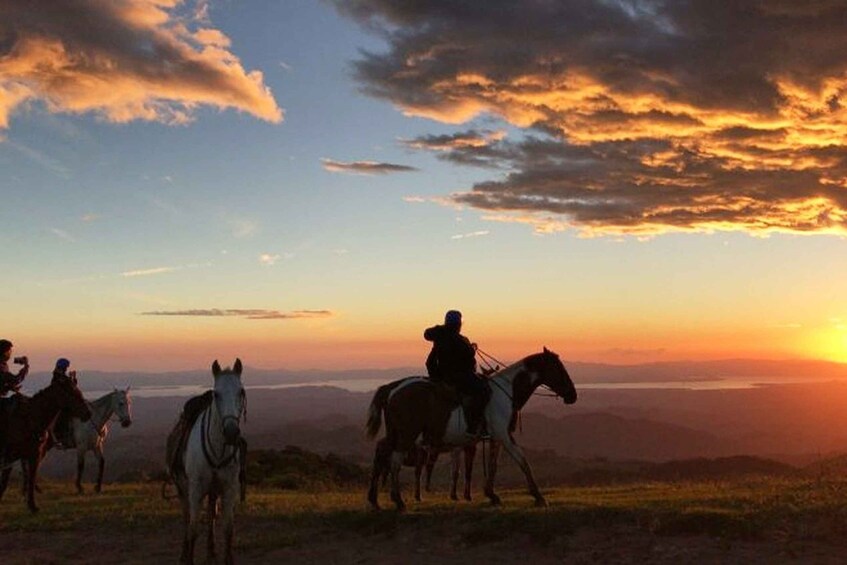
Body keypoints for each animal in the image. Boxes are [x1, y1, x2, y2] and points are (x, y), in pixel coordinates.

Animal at [0, 374, 92, 512]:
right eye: (72, 393)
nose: (88, 413)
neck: (29, 420)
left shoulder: (34, 456)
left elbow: (31, 478)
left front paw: (32, 505)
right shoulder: (10, 456)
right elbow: (5, 483)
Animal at [176, 362, 245, 564]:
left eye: (241, 392)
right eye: (216, 394)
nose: (231, 432)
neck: (217, 450)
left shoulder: (229, 488)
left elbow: (228, 528)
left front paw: (227, 559)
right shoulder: (196, 489)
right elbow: (193, 528)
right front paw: (189, 558)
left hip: (213, 490)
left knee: (211, 515)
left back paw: (211, 549)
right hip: (183, 489)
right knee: (186, 518)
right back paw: (184, 553)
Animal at [366, 348, 576, 512]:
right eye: (559, 368)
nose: (573, 395)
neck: (506, 392)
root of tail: (393, 388)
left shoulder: (495, 438)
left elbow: (493, 465)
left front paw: (491, 495)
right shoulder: (504, 435)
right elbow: (522, 461)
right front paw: (538, 496)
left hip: (395, 434)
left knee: (382, 456)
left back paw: (375, 500)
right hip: (406, 435)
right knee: (394, 461)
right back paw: (398, 500)